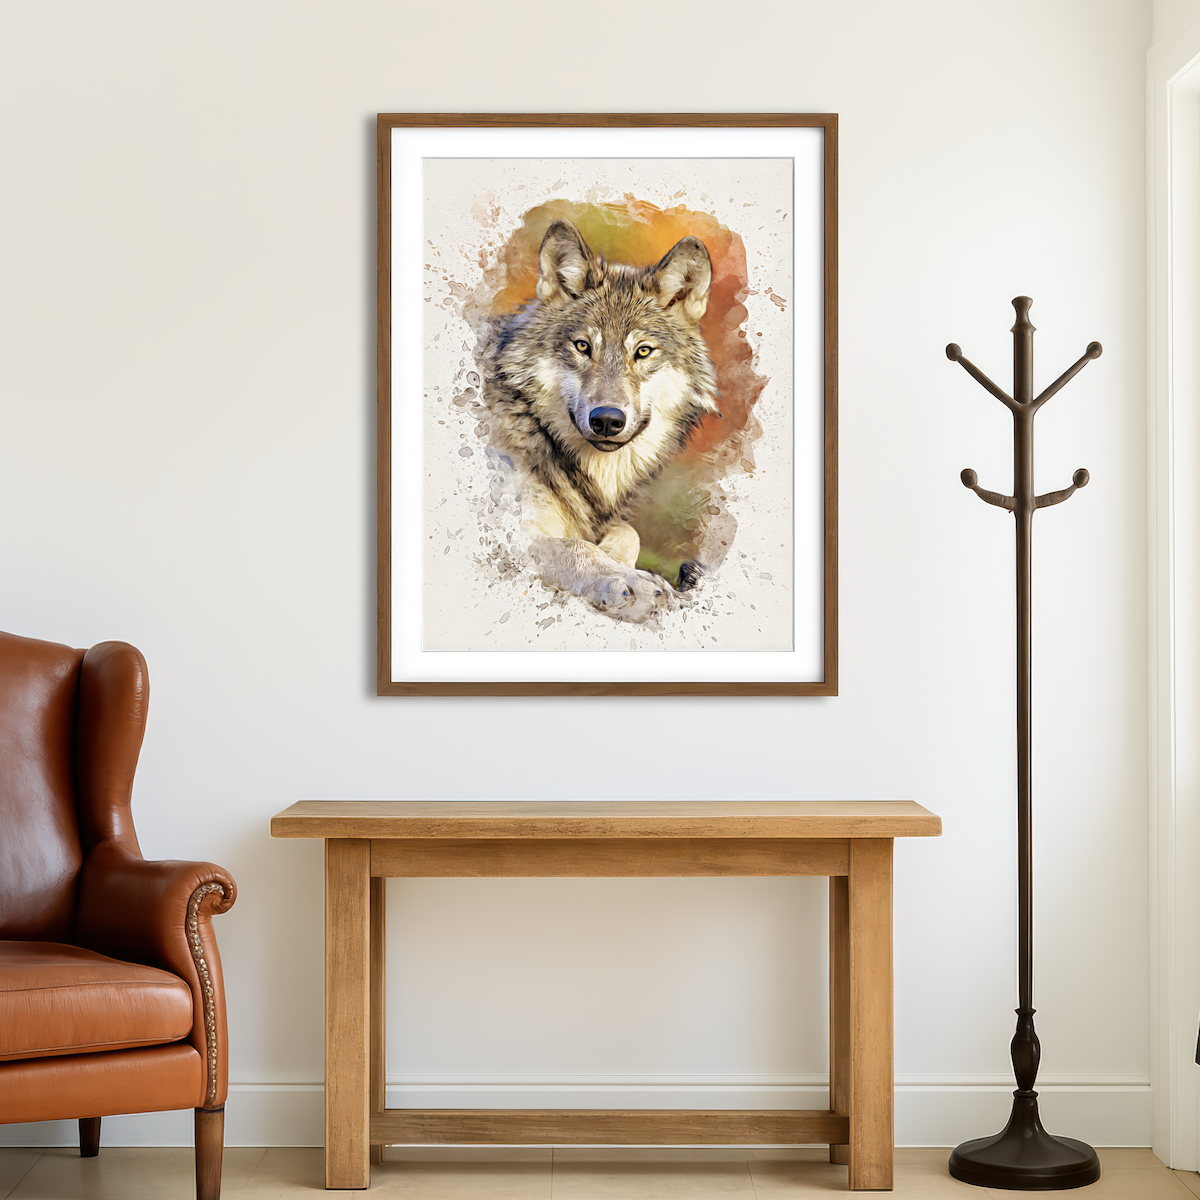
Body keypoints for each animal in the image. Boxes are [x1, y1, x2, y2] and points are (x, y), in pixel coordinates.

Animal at [479, 218, 720, 621]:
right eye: (582, 346)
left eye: (643, 352)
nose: (607, 420)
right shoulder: (505, 533)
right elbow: (577, 548)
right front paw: (632, 584)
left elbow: (626, 533)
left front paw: (623, 566)